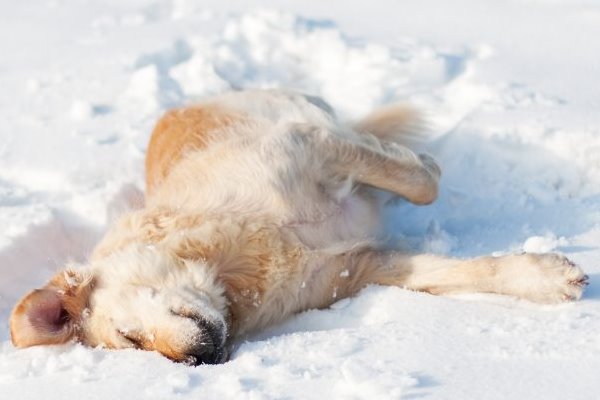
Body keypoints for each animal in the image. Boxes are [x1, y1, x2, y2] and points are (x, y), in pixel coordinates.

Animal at [10, 90, 592, 366]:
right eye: (138, 350)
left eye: (129, 337)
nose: (198, 360)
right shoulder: (364, 267)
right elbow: (459, 273)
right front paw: (544, 278)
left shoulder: (307, 144)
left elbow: (422, 182)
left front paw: (423, 164)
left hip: (299, 114)